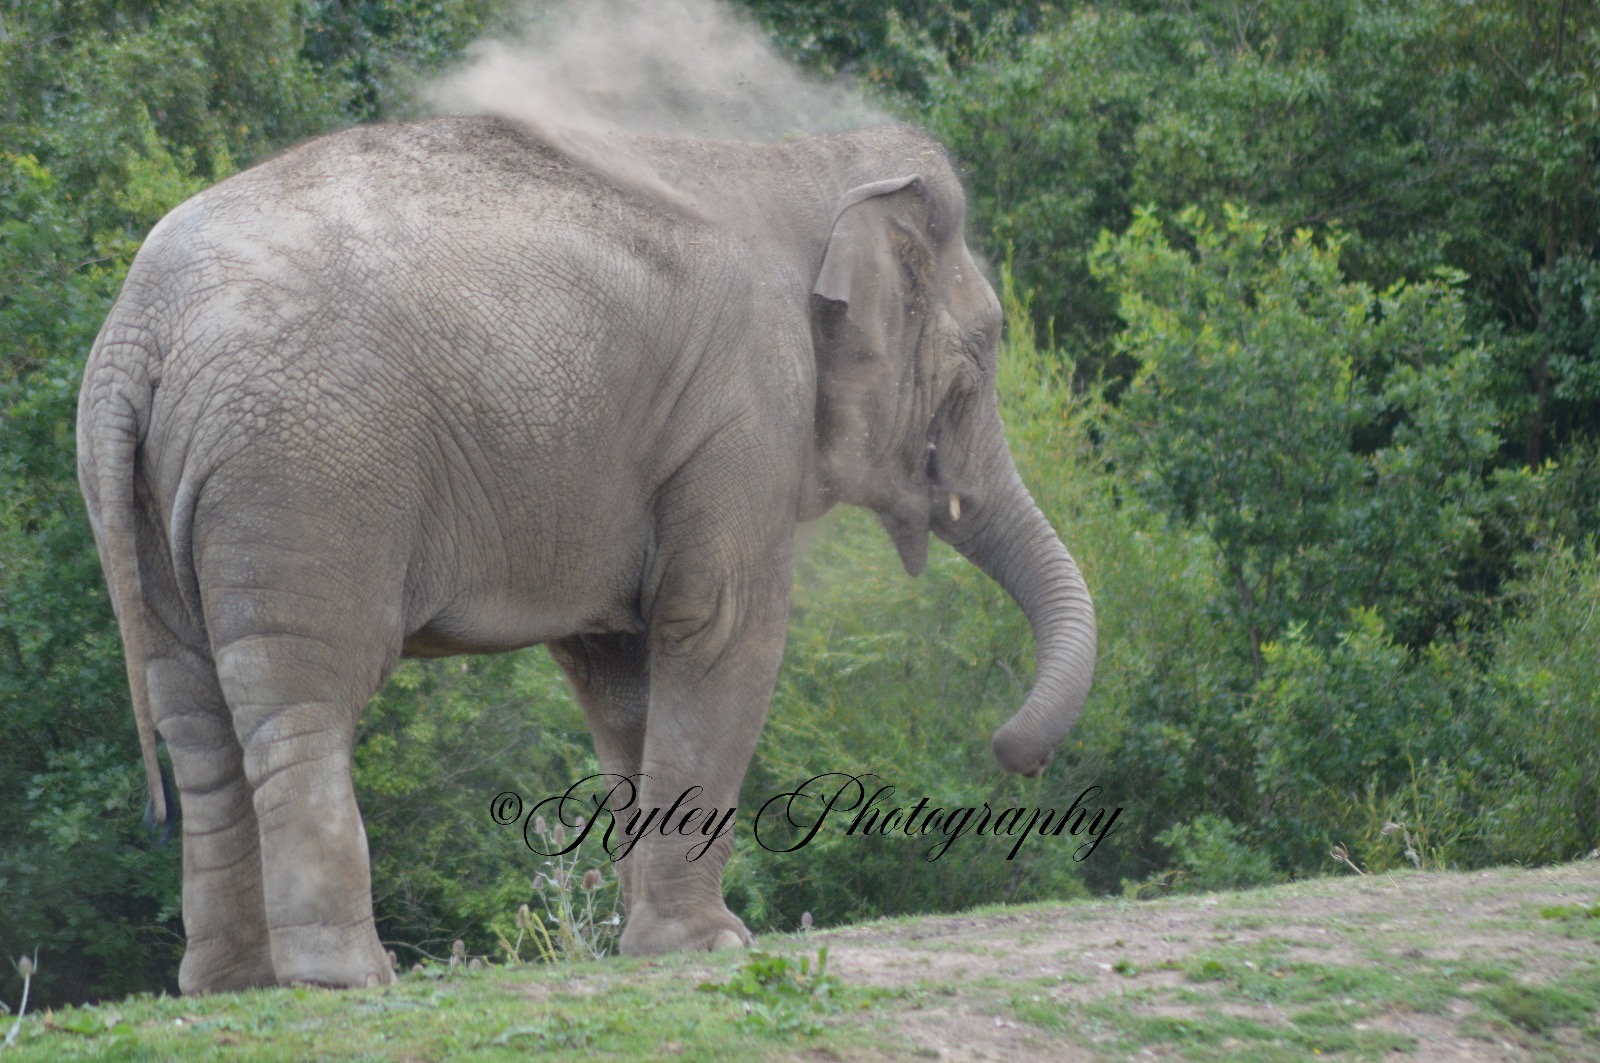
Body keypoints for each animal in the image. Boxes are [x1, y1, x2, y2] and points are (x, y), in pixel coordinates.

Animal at [76, 115, 1098, 993]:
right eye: (981, 357)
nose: (1012, 753)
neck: (801, 161)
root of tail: (138, 332)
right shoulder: (746, 407)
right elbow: (722, 629)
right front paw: (713, 946)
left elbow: (623, 674)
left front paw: (654, 945)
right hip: (306, 468)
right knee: (303, 701)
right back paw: (349, 978)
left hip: (154, 488)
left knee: (194, 714)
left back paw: (234, 982)